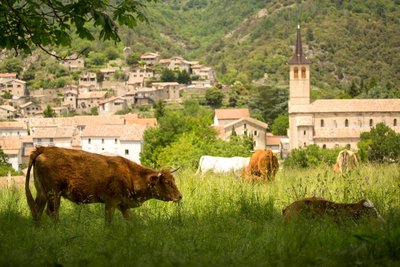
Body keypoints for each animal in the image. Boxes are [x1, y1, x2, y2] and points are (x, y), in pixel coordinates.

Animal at [24, 147, 181, 224]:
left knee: (37, 211)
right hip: (54, 193)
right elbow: (108, 222)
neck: (130, 174)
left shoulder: (123, 205)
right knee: (52, 213)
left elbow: (129, 221)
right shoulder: (110, 203)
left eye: (174, 180)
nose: (180, 196)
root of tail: (44, 149)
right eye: (167, 182)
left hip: (42, 193)